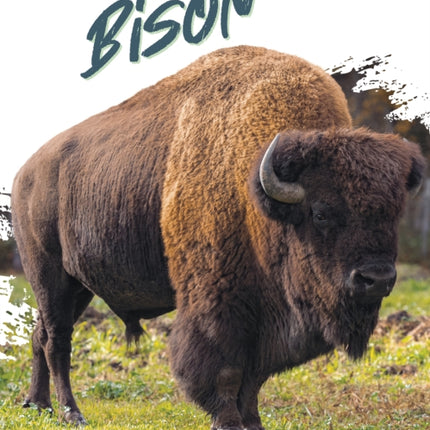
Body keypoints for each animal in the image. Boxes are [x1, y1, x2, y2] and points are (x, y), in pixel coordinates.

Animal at [11, 45, 424, 428]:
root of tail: (24, 173)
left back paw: (37, 404)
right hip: (50, 276)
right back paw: (71, 412)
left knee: (39, 335)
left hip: (79, 285)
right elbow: (225, 369)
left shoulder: (264, 318)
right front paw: (227, 420)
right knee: (57, 340)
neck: (254, 192)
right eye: (321, 212)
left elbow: (255, 376)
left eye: (393, 214)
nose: (376, 279)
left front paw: (253, 420)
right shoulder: (218, 303)